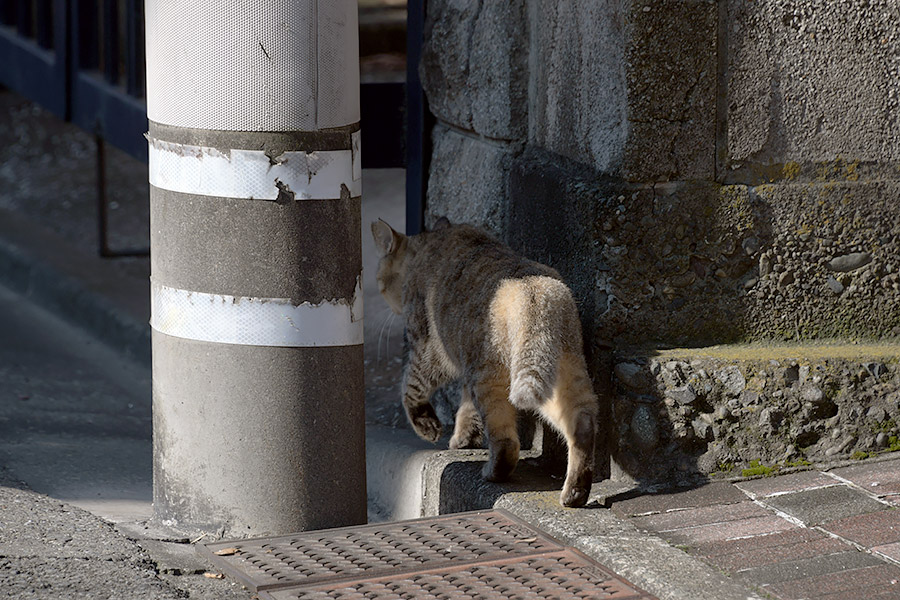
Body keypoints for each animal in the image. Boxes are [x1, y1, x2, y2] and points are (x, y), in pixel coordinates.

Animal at [370, 216, 600, 506]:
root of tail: (536, 292)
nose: (388, 304)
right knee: (583, 423)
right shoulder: (463, 363)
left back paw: (494, 472)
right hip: (565, 372)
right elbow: (467, 409)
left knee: (507, 442)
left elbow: (410, 386)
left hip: (496, 381)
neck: (430, 241)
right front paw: (464, 438)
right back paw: (575, 492)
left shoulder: (430, 350)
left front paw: (428, 426)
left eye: (380, 283)